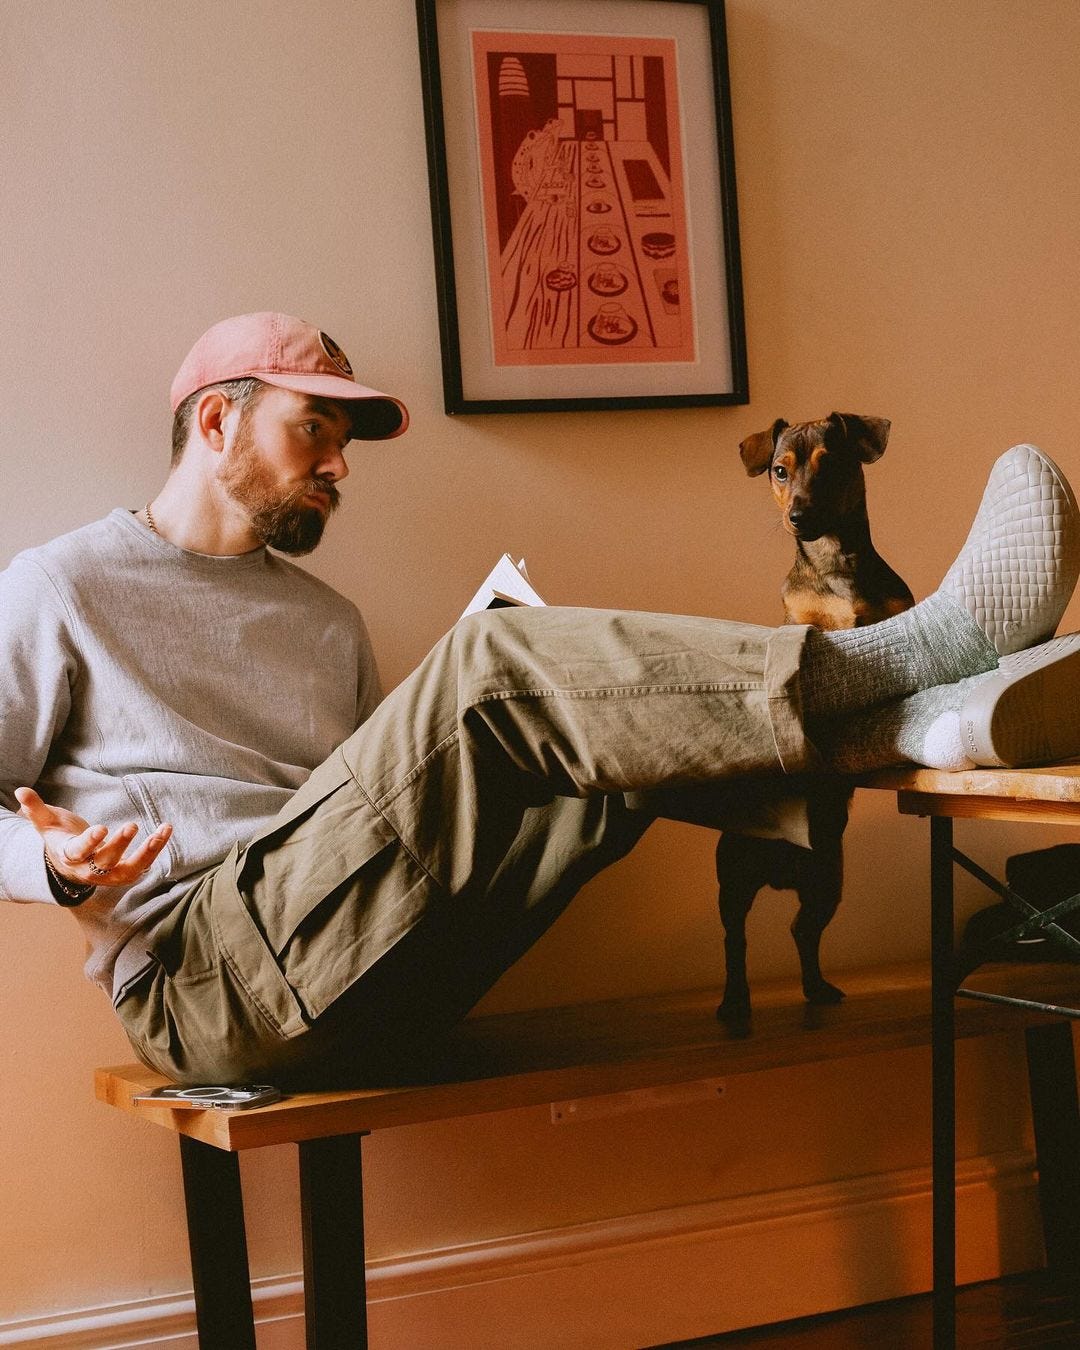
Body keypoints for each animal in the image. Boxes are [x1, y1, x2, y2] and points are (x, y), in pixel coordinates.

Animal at [718, 410, 912, 1031]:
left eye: (833, 465)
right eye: (780, 470)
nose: (798, 517)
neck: (835, 564)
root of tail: (782, 871)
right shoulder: (805, 626)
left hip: (827, 881)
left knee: (802, 931)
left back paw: (817, 988)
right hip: (734, 880)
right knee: (736, 942)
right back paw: (734, 1005)